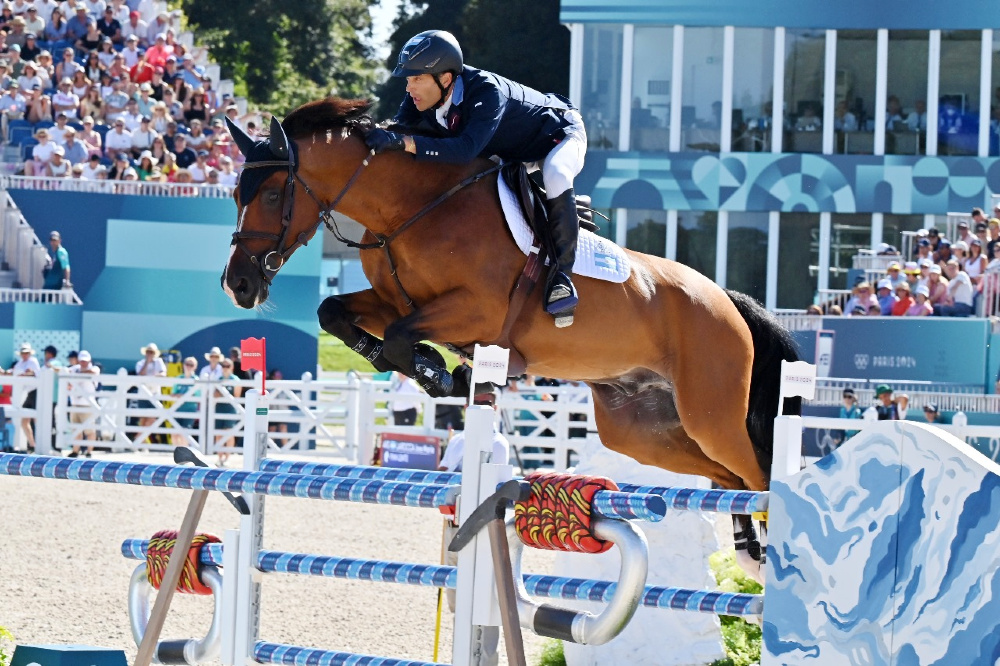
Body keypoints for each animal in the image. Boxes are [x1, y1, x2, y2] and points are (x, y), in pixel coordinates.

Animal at [223, 97, 800, 576]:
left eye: (271, 194)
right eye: (234, 194)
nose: (238, 284)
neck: (412, 209)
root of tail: (726, 299)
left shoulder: (473, 311)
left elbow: (402, 338)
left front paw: (442, 375)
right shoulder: (393, 302)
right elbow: (337, 314)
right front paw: (427, 368)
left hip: (709, 413)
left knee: (756, 472)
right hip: (643, 429)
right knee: (730, 478)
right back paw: (750, 554)